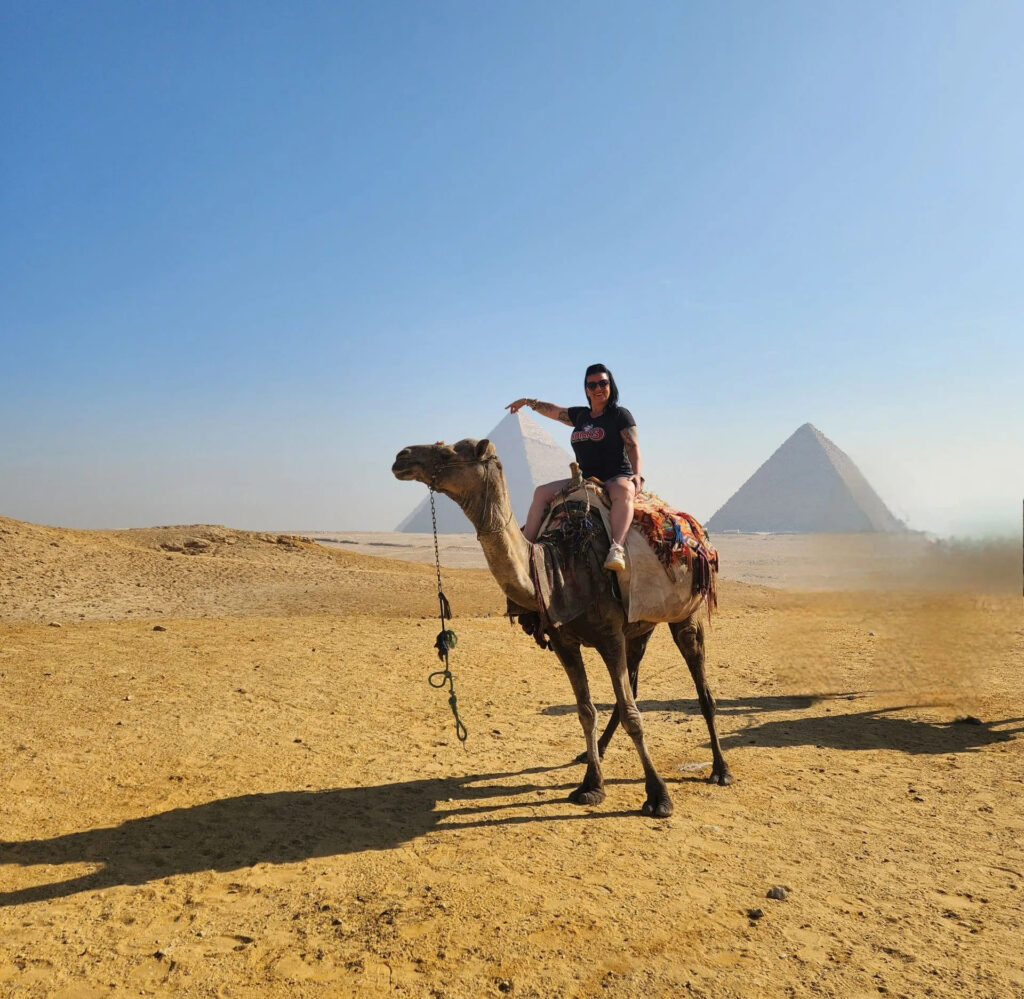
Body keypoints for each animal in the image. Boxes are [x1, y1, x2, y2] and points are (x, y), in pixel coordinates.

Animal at [392, 437, 732, 817]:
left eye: (448, 451)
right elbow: (586, 711)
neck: (562, 564)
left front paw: (658, 796)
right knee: (629, 685)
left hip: (686, 614)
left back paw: (721, 769)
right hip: (640, 626)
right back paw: (594, 752)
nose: (402, 456)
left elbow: (633, 714)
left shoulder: (610, 635)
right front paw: (591, 785)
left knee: (701, 692)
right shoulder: (563, 642)